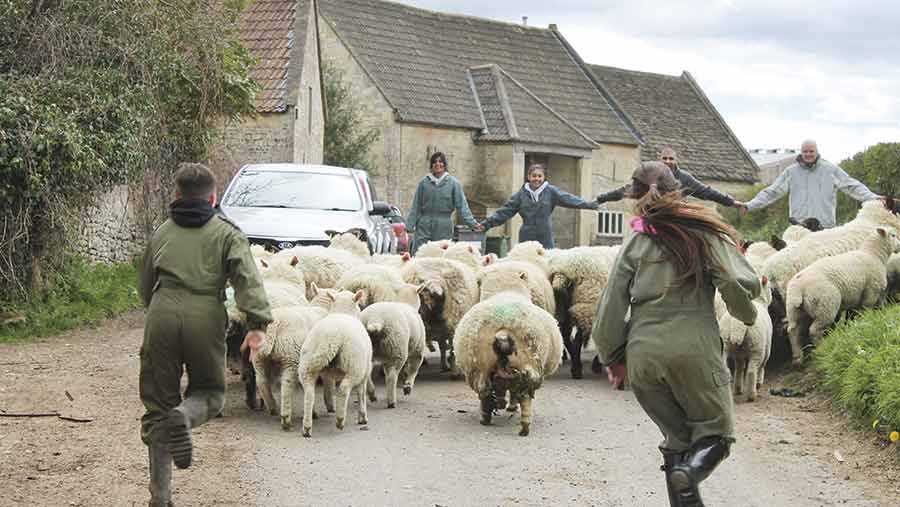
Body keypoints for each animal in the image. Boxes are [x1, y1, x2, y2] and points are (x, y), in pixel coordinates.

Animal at [298, 290, 373, 437]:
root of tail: (332, 337)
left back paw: (307, 427)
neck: (342, 311)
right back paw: (340, 420)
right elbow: (361, 393)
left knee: (309, 393)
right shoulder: (365, 372)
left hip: (307, 364)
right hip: (354, 366)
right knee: (344, 389)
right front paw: (363, 417)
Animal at [453, 278, 563, 436]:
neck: (505, 290)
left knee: (486, 391)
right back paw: (522, 424)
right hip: (528, 365)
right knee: (522, 395)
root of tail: (503, 332)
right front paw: (510, 405)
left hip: (482, 368)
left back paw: (488, 417)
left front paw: (504, 404)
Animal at [785, 226, 900, 366]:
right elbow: (867, 310)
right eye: (893, 235)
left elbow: (876, 306)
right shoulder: (871, 291)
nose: (899, 246)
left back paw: (797, 357)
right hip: (826, 304)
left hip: (794, 310)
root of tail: (797, 289)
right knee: (814, 330)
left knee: (793, 331)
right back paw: (822, 349)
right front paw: (868, 321)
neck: (873, 255)